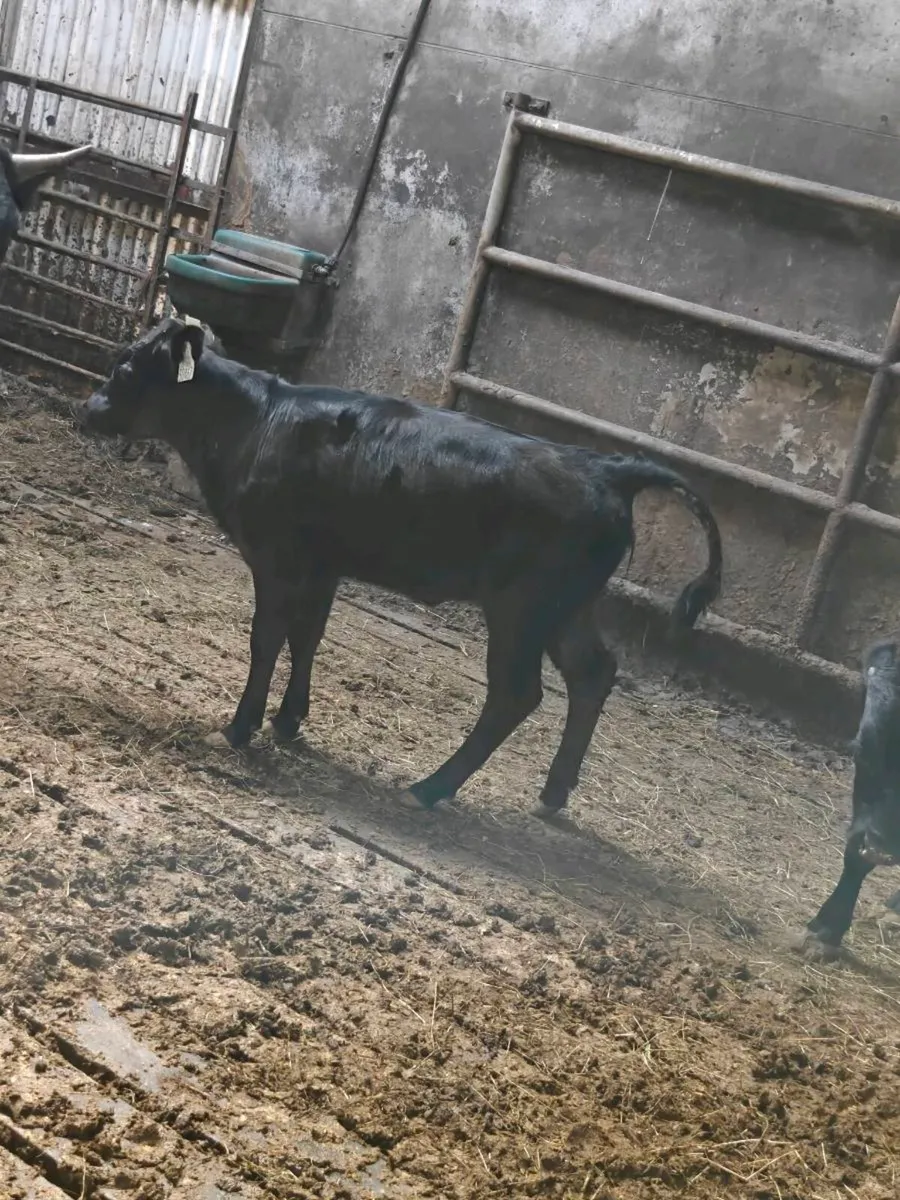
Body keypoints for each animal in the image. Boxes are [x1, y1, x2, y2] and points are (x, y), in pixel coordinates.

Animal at [81, 317, 723, 814]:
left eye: (125, 369)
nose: (86, 409)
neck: (254, 422)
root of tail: (606, 466)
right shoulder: (323, 564)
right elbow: (308, 637)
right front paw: (289, 722)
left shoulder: (276, 556)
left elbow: (267, 639)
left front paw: (240, 728)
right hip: (568, 606)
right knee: (592, 673)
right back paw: (551, 796)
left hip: (522, 606)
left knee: (516, 694)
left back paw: (430, 787)